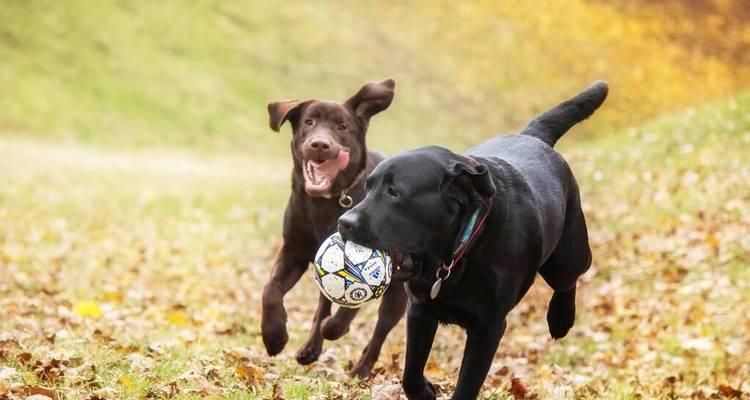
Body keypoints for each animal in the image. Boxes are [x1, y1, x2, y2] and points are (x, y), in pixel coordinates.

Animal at [260, 78, 408, 378]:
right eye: (309, 121)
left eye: (342, 127)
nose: (320, 144)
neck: (326, 202)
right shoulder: (294, 252)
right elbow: (270, 291)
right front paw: (274, 336)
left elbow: (353, 304)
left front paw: (336, 328)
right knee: (323, 304)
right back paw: (310, 349)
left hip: (399, 293)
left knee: (379, 332)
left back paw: (361, 369)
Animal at [338, 80, 608, 396]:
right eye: (368, 187)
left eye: (395, 192)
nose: (344, 223)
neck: (458, 251)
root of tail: (531, 136)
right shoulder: (420, 311)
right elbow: (410, 374)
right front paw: (427, 390)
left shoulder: (487, 329)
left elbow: (467, 385)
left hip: (567, 255)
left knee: (570, 278)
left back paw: (560, 319)